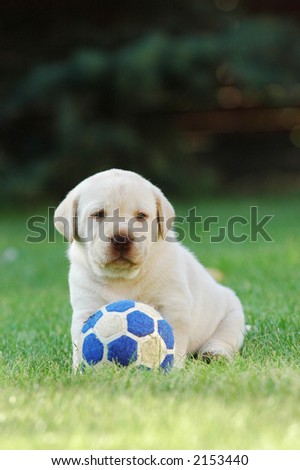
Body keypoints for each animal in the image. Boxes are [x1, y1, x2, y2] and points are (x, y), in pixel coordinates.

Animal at [55, 167, 245, 370]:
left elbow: (173, 338)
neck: (122, 277)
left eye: (141, 216)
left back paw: (214, 354)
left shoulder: (173, 305)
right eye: (98, 214)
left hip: (232, 316)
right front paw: (80, 370)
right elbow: (80, 340)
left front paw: (172, 368)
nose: (121, 238)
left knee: (222, 340)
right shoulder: (86, 307)